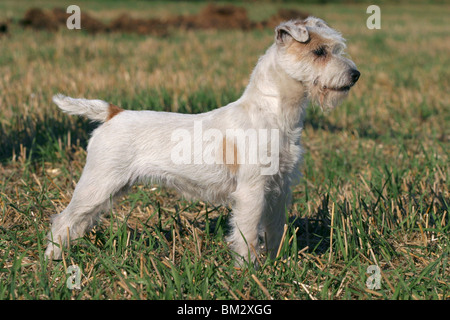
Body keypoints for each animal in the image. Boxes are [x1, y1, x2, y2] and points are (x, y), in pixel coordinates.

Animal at [45, 16, 360, 264]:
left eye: (336, 48)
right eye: (319, 51)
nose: (355, 75)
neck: (273, 114)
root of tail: (113, 113)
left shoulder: (280, 189)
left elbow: (275, 229)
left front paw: (274, 263)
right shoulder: (252, 191)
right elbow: (246, 233)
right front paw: (248, 271)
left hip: (107, 190)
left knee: (78, 222)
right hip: (98, 185)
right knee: (63, 220)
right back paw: (53, 260)